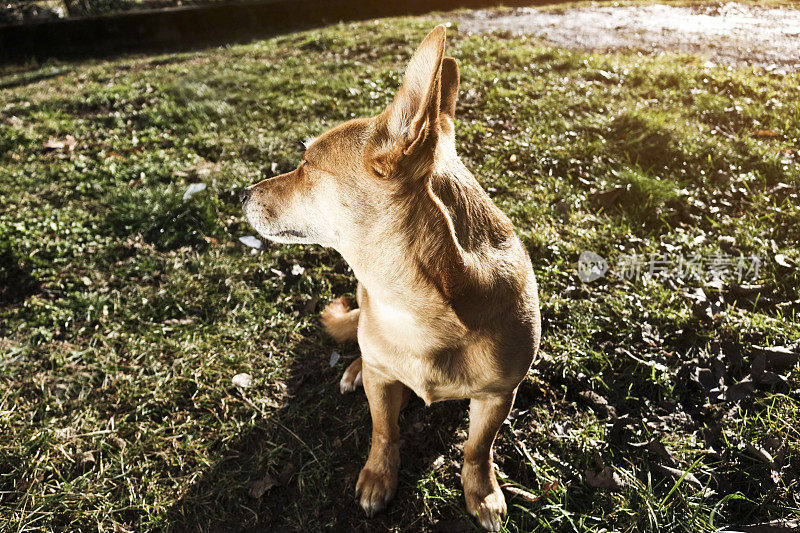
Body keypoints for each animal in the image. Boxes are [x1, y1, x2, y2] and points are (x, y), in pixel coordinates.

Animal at [241, 26, 540, 532]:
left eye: (306, 167)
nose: (242, 193)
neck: (413, 308)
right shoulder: (384, 386)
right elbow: (384, 431)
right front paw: (379, 477)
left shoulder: (498, 397)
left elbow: (477, 448)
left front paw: (481, 491)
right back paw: (356, 367)